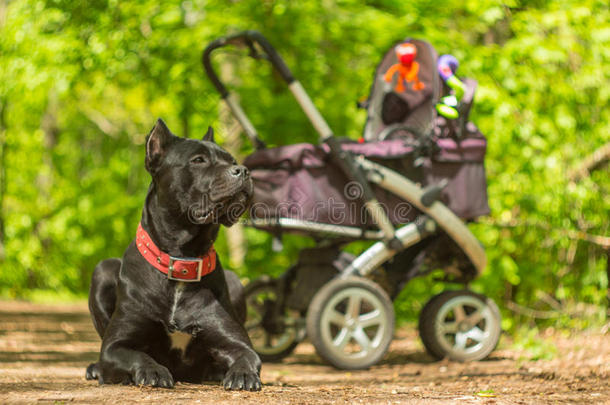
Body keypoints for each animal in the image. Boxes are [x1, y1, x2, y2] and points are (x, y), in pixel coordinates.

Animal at [85, 118, 258, 390]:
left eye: (231, 160)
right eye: (198, 160)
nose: (243, 170)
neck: (182, 260)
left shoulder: (237, 343)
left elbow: (247, 356)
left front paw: (242, 374)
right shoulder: (115, 347)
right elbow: (137, 355)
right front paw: (153, 371)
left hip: (236, 283)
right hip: (102, 270)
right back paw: (94, 368)